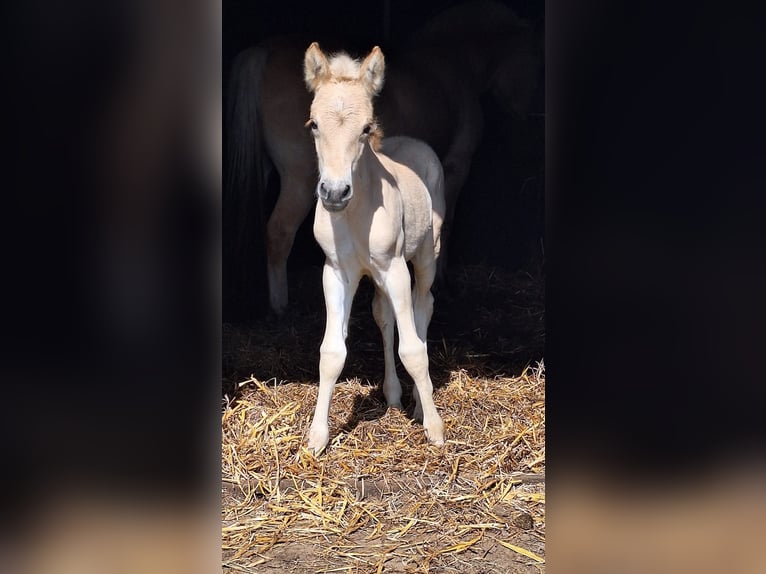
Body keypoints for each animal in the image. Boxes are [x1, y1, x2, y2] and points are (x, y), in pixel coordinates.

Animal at [224, 0, 540, 316]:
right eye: (531, 60)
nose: (528, 113)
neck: (456, 64)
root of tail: (262, 51)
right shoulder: (457, 165)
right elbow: (446, 222)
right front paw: (442, 281)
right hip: (300, 181)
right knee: (279, 232)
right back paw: (280, 307)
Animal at [302, 42, 445, 454]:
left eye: (366, 128)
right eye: (313, 124)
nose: (334, 192)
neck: (355, 215)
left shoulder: (394, 267)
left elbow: (413, 349)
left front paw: (435, 428)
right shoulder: (337, 272)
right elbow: (331, 353)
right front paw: (316, 438)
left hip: (426, 254)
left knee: (423, 305)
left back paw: (419, 403)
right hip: (378, 275)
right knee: (384, 315)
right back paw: (395, 395)